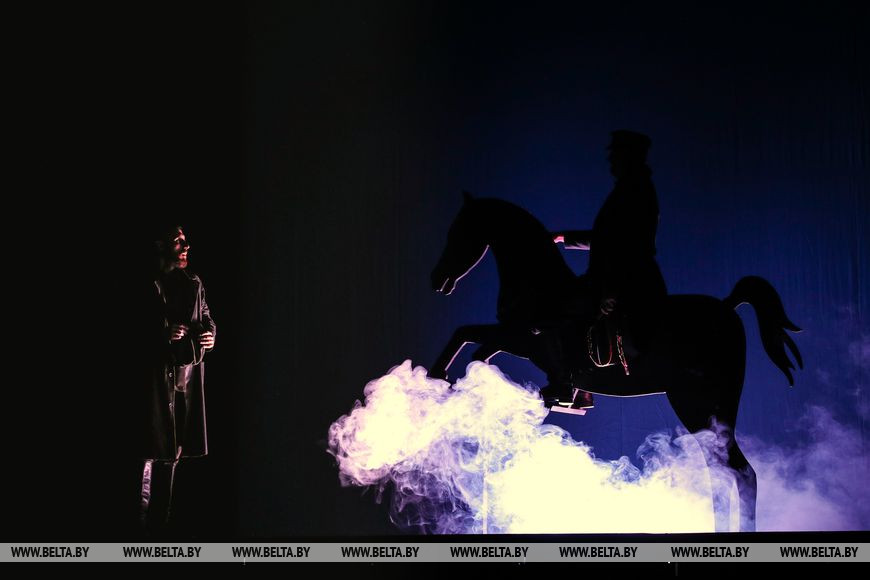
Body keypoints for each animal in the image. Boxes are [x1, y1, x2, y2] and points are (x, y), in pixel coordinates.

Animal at [428, 193, 803, 532]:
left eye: (458, 231)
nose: (437, 279)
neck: (540, 286)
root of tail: (727, 308)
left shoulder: (522, 337)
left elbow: (475, 345)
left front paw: (455, 381)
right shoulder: (515, 338)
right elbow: (467, 334)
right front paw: (444, 377)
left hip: (697, 403)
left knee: (739, 472)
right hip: (710, 411)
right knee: (722, 471)